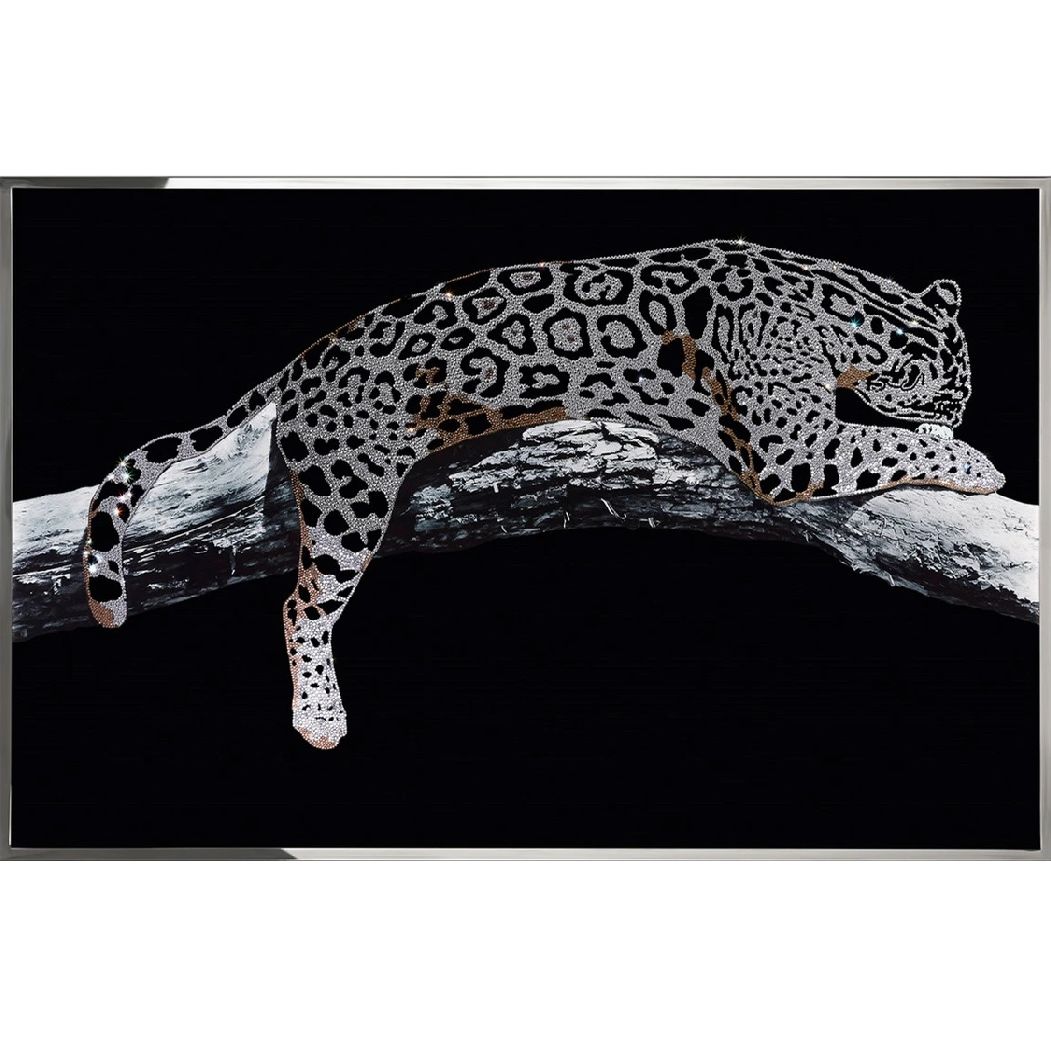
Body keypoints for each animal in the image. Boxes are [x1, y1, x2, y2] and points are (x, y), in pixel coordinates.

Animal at [82, 239, 1004, 749]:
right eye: (954, 395)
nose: (964, 415)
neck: (842, 307)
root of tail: (305, 356)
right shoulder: (792, 446)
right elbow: (882, 440)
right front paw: (974, 461)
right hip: (350, 495)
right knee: (302, 603)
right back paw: (318, 718)